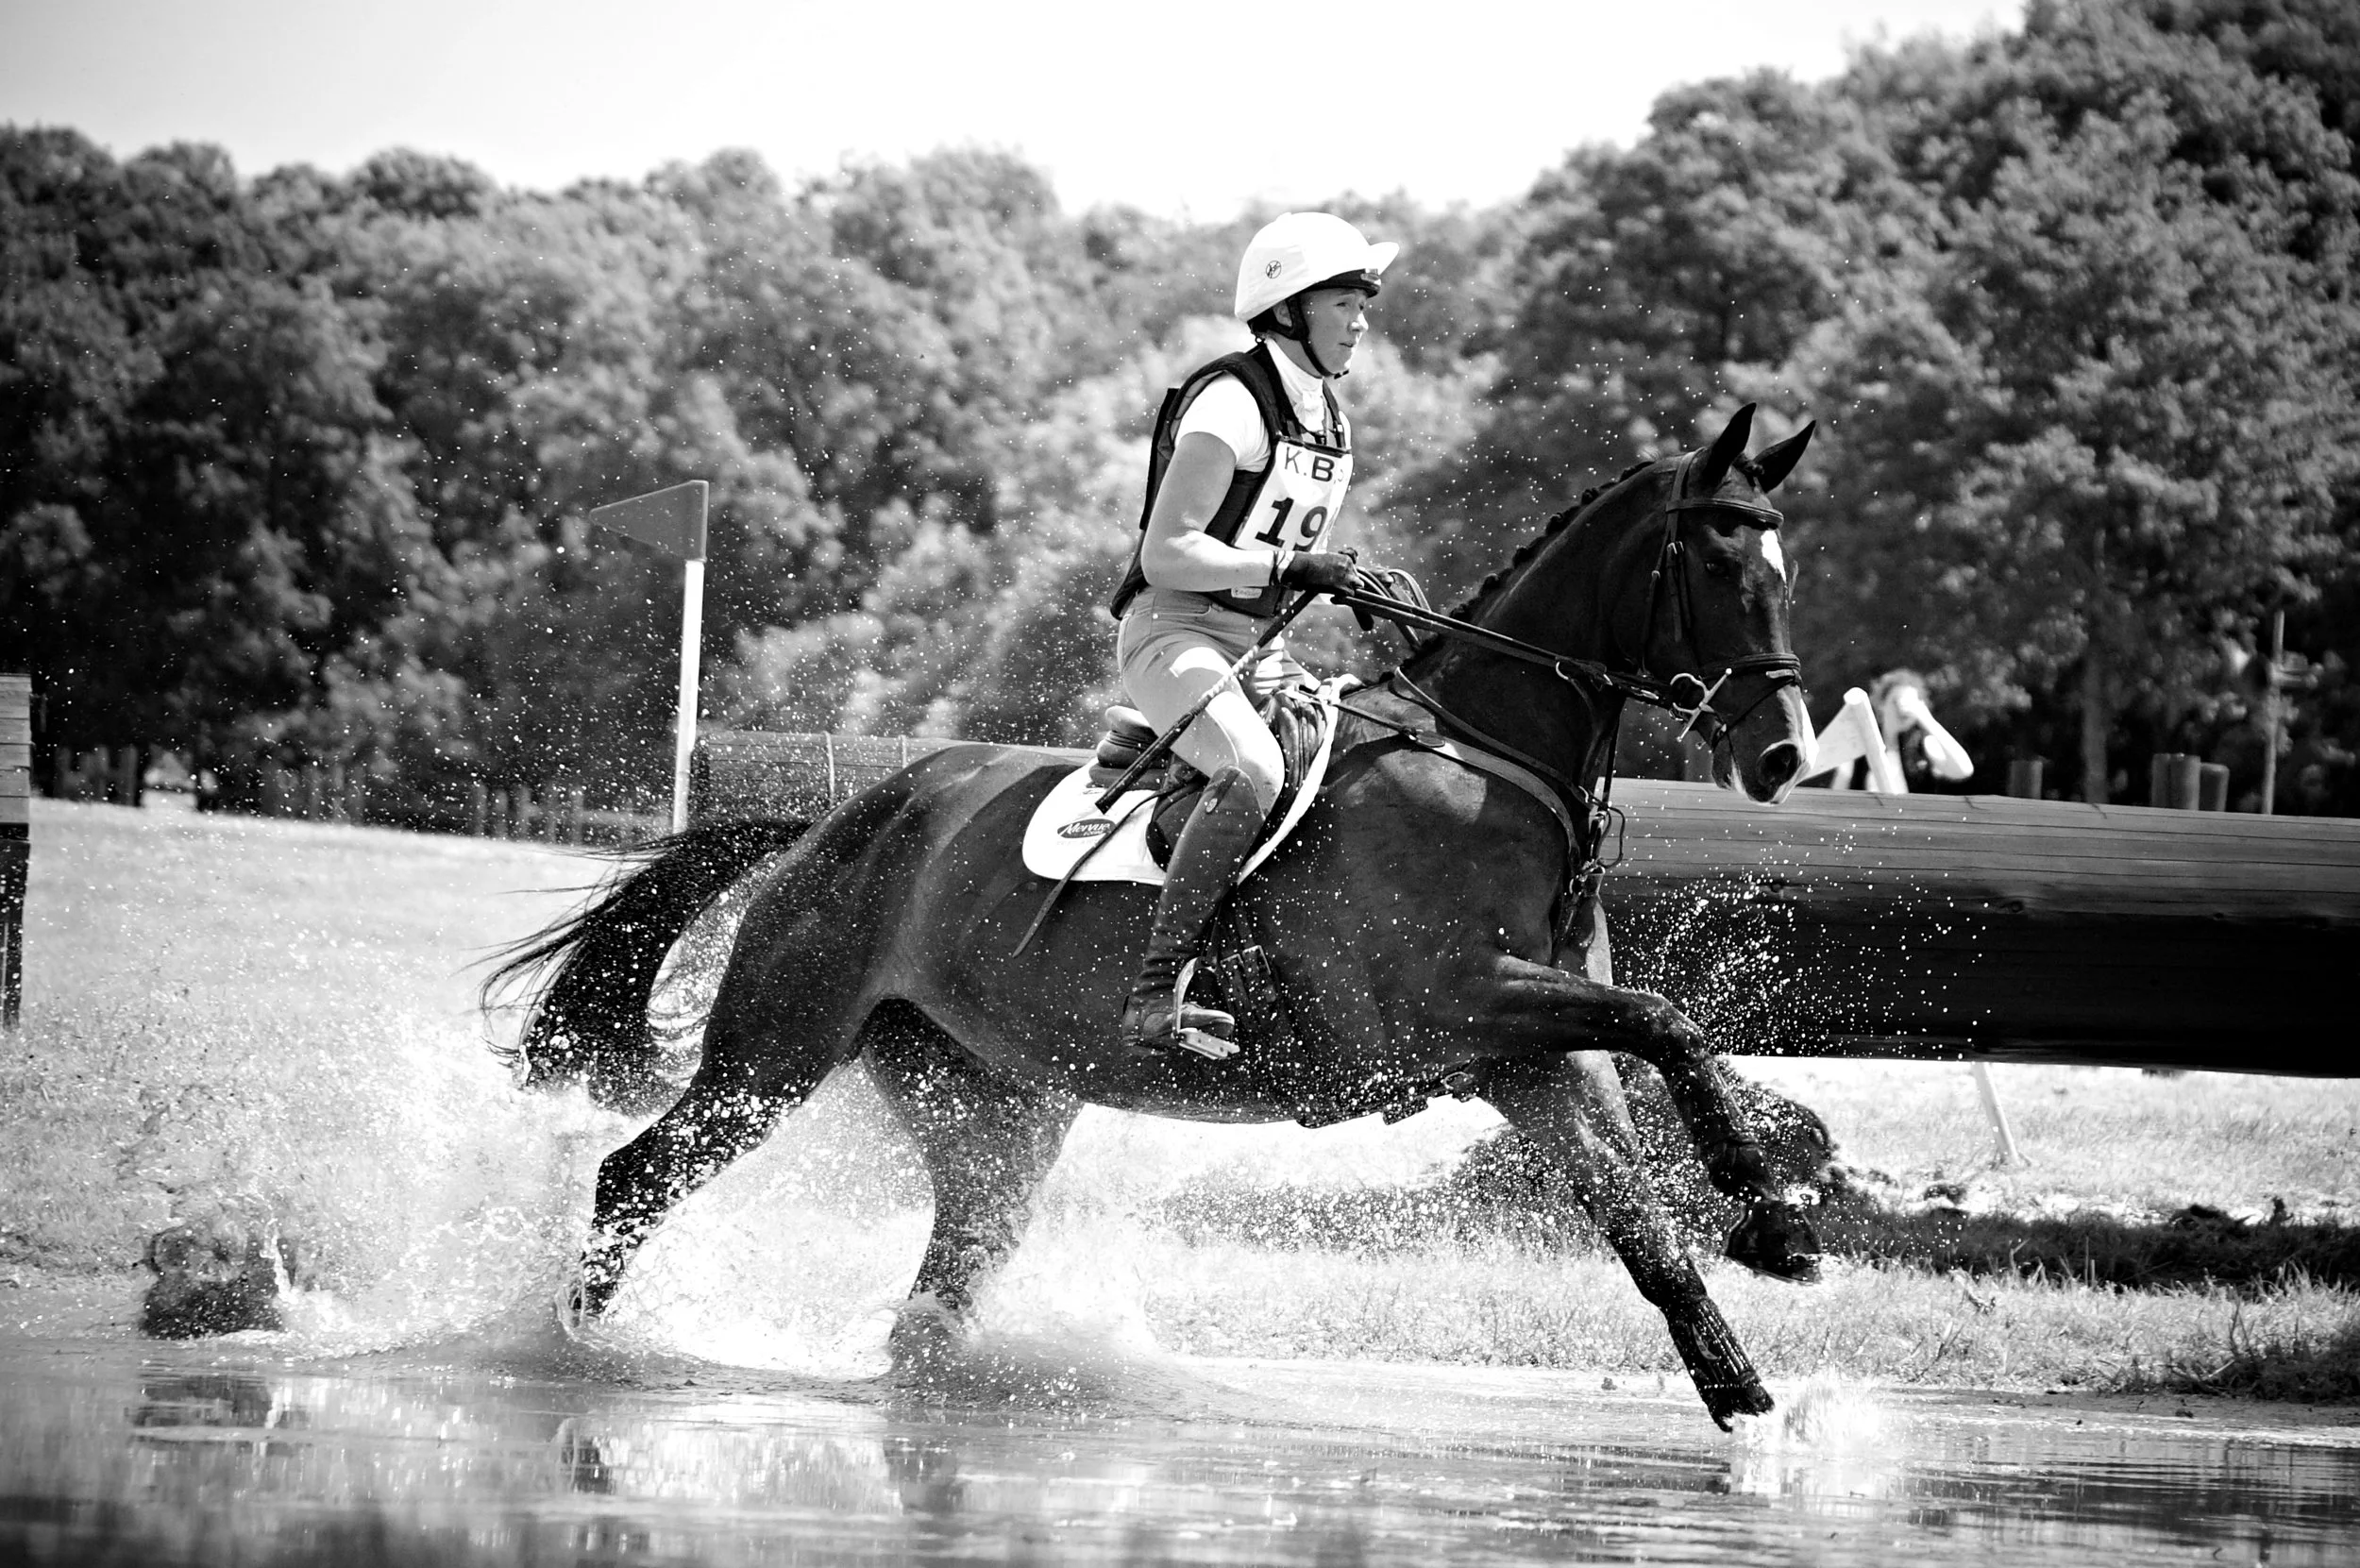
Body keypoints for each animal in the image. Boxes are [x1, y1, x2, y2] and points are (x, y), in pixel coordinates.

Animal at [494, 403, 1822, 1428]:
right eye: (1717, 567)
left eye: (1786, 569)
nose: (1784, 758)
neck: (1493, 762)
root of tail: (836, 824)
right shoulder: (1450, 1008)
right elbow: (1665, 1017)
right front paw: (1774, 1219)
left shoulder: (1531, 1060)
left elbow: (1648, 1212)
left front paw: (1758, 1390)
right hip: (775, 1050)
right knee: (635, 1173)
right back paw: (568, 1345)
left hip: (993, 1104)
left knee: (944, 1278)